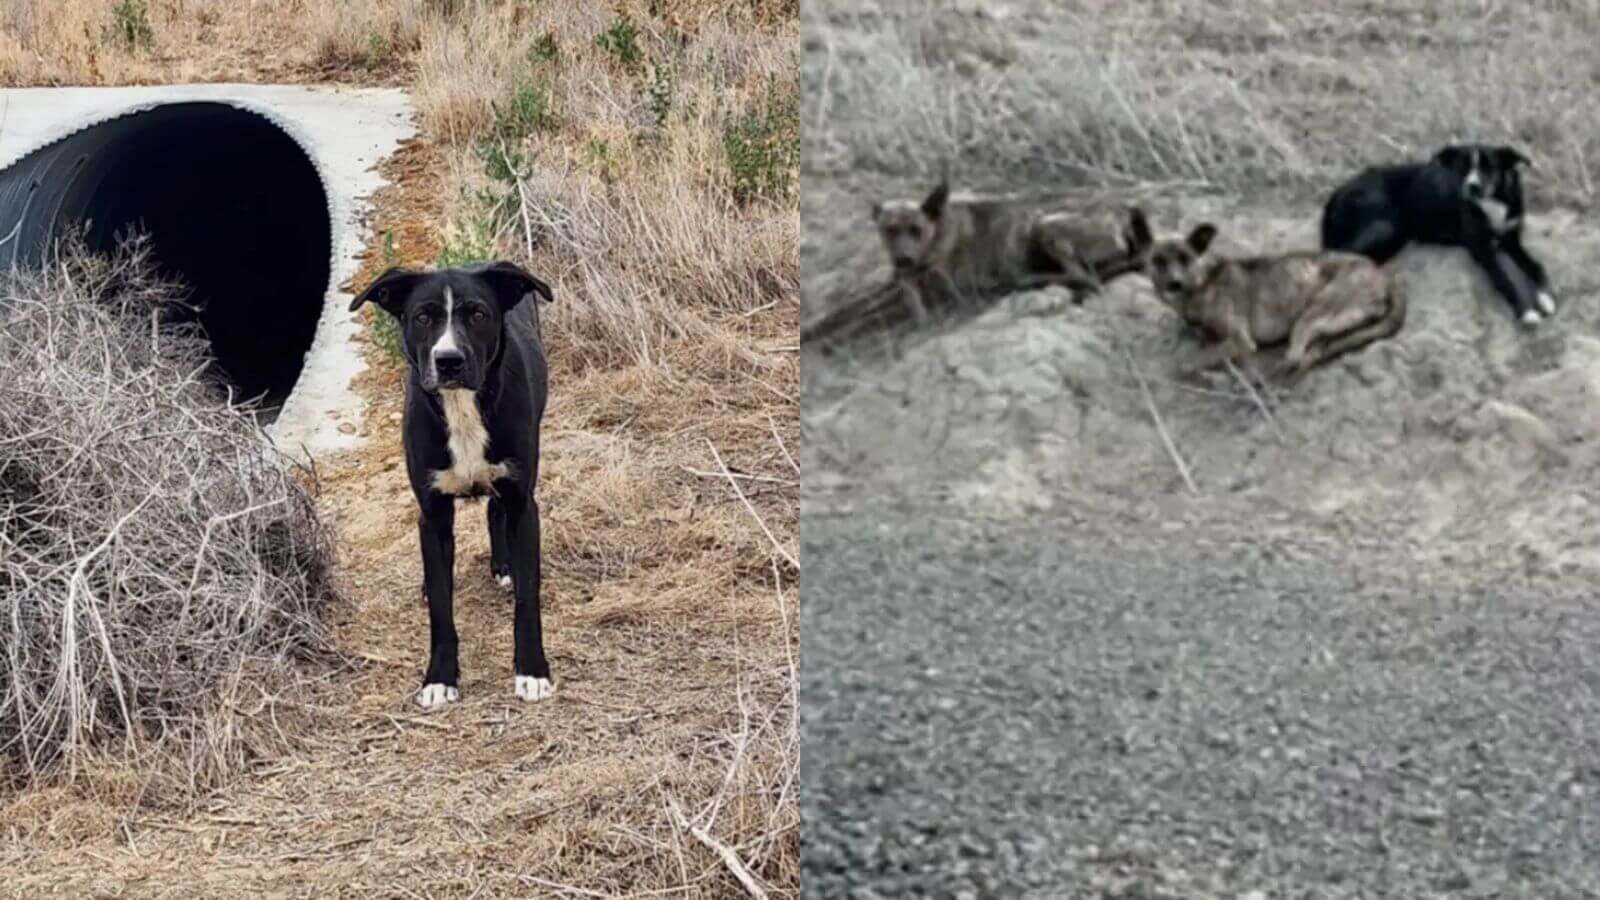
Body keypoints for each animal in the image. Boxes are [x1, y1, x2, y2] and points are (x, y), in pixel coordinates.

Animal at [350, 259, 556, 707]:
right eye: (422, 317)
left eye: (478, 314)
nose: (448, 360)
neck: (462, 408)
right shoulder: (432, 513)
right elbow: (442, 608)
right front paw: (439, 678)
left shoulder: (523, 501)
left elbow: (527, 601)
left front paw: (531, 670)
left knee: (495, 509)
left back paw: (504, 565)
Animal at [876, 177, 1152, 318]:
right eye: (889, 231)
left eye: (916, 230)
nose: (902, 259)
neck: (941, 227)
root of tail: (1124, 211)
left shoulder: (947, 280)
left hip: (1044, 226)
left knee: (1082, 276)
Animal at [1126, 206, 1401, 377]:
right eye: (1158, 261)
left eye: (1185, 258)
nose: (1174, 284)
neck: (1202, 283)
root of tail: (1381, 274)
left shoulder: (1240, 340)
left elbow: (1192, 361)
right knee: (1319, 347)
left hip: (1315, 311)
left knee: (1298, 353)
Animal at [1318, 145, 1555, 328]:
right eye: (1463, 167)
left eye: (1489, 167)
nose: (1472, 187)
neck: (1493, 202)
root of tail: (1334, 196)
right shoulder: (1481, 248)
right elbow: (1504, 279)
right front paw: (1526, 312)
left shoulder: (1511, 239)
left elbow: (1536, 266)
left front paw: (1545, 297)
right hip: (1385, 227)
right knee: (1337, 256)